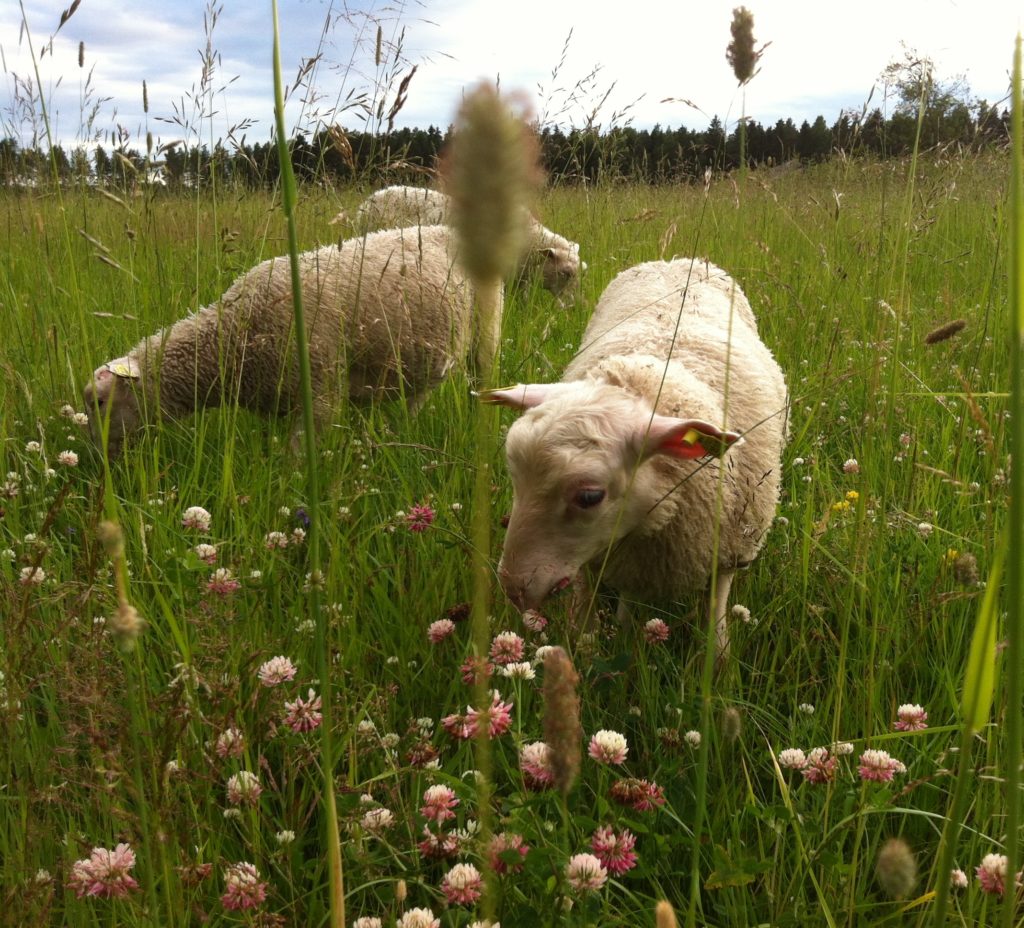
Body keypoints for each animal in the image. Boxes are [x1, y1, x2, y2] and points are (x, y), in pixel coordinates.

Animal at [483, 255, 786, 659]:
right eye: (515, 479)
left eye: (589, 496)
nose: (513, 589)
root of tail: (674, 259)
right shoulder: (603, 560)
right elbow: (590, 624)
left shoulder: (730, 548)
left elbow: (716, 618)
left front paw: (718, 659)